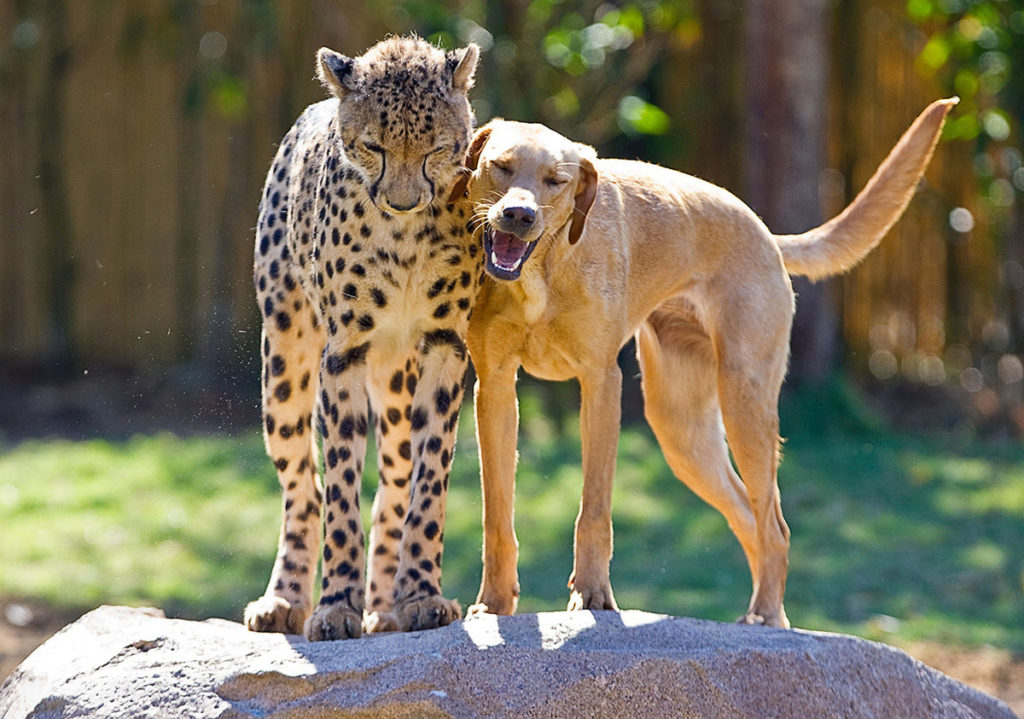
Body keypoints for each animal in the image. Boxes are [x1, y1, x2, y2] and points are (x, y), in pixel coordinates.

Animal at [245, 35, 485, 643]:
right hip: (284, 362)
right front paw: (335, 606)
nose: (402, 201)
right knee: (302, 488)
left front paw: (420, 595)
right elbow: (340, 490)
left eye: (436, 149)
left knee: (393, 487)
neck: (403, 236)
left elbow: (428, 483)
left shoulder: (445, 346)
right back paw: (285, 599)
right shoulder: (344, 352)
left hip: (398, 382)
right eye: (373, 147)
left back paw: (386, 608)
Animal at [452, 98, 954, 626]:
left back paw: (765, 615)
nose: (519, 215)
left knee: (774, 526)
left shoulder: (601, 384)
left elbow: (594, 510)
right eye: (501, 167)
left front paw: (592, 596)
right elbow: (496, 516)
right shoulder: (495, 389)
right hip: (684, 433)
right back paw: (765, 616)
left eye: (556, 180)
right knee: (750, 518)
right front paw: (494, 604)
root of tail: (764, 232)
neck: (540, 276)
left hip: (744, 404)